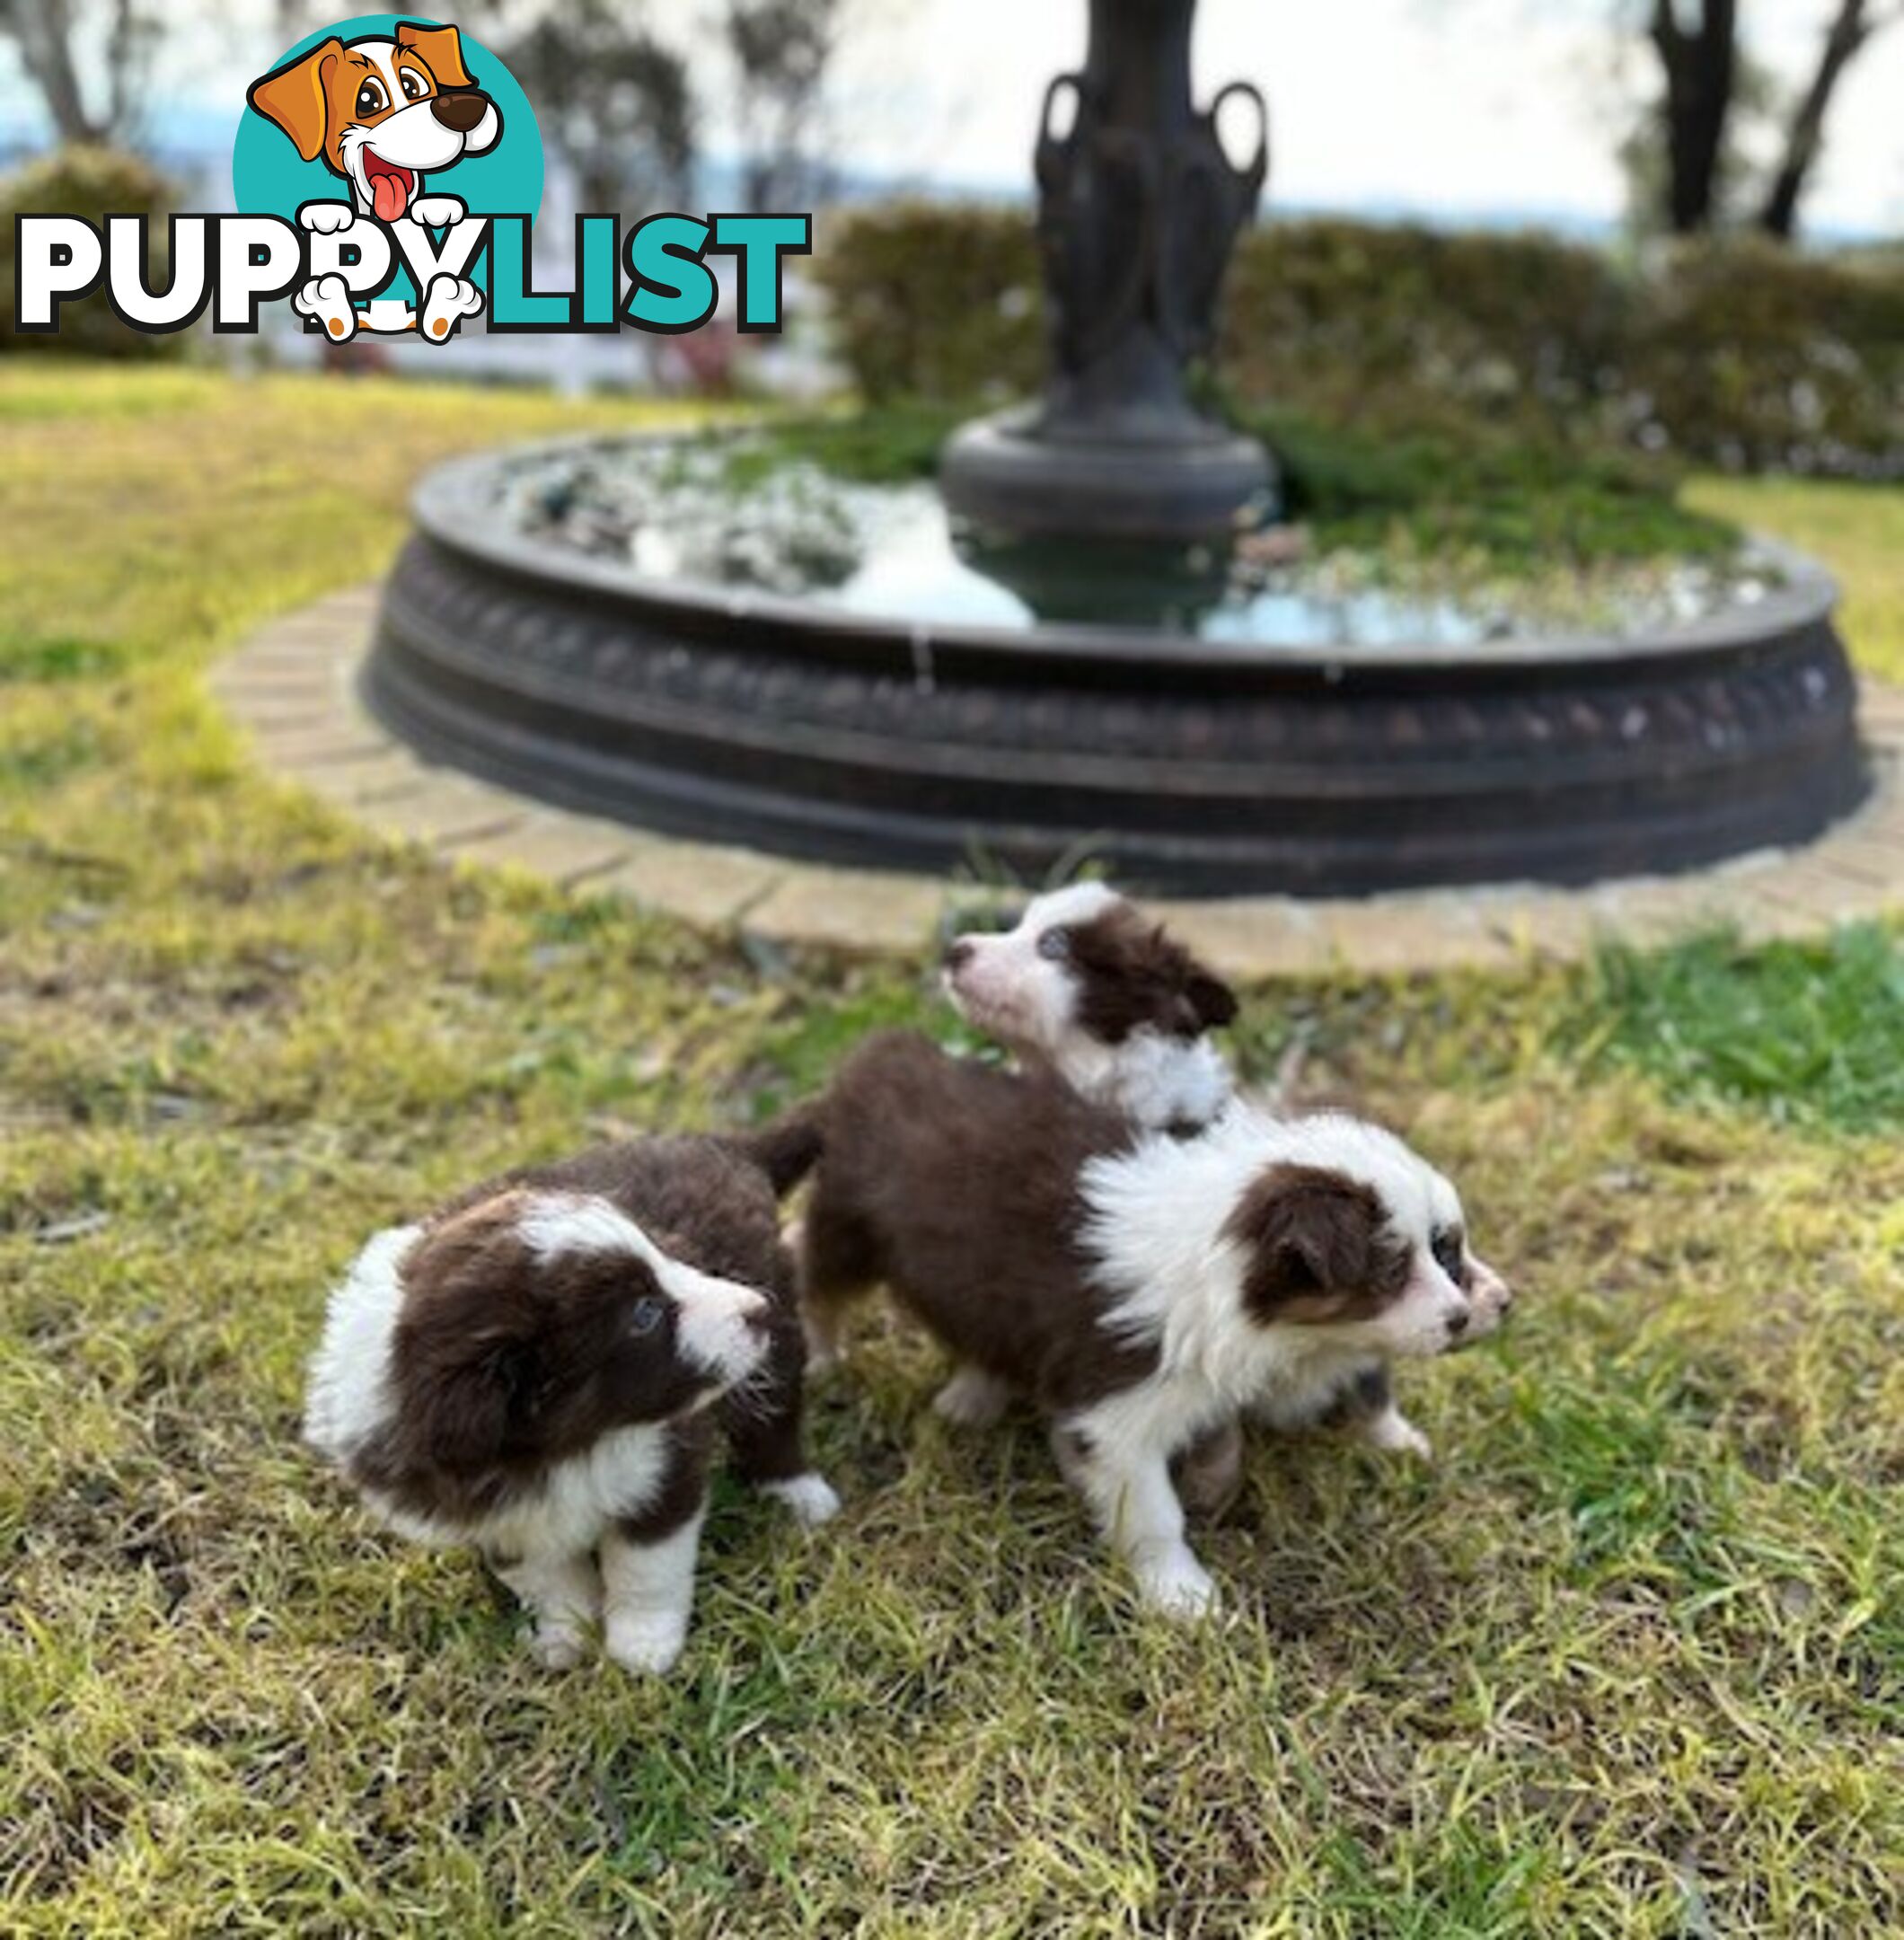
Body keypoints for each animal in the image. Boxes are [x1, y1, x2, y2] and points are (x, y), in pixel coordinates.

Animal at [304, 1133, 830, 1676]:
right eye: (644, 1314)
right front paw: (567, 1637)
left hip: (776, 1333)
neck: (567, 1445)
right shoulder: (489, 1516)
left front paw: (642, 1647)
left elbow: (645, 1563)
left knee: (774, 1413)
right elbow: (547, 1578)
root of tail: (720, 1145)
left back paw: (798, 1493)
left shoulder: (666, 1465)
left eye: (663, 1257)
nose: (755, 1309)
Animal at [780, 1032, 1505, 1621]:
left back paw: (974, 1393)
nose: (1488, 1308)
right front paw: (1183, 1598)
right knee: (818, 1282)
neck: (1227, 1259)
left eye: (1446, 1246)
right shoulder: (1117, 1412)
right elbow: (1155, 1512)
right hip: (849, 1225)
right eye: (1393, 1270)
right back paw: (823, 1359)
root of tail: (874, 1058)